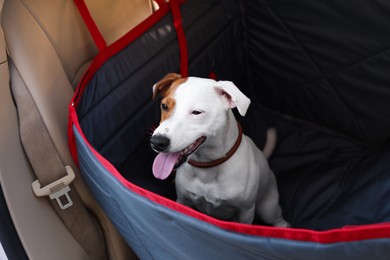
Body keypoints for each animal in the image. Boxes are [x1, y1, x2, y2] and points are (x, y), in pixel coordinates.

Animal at [151, 72, 288, 226]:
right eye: (164, 106)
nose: (157, 142)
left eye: (196, 112)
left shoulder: (245, 212)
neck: (207, 166)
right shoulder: (183, 200)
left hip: (268, 208)